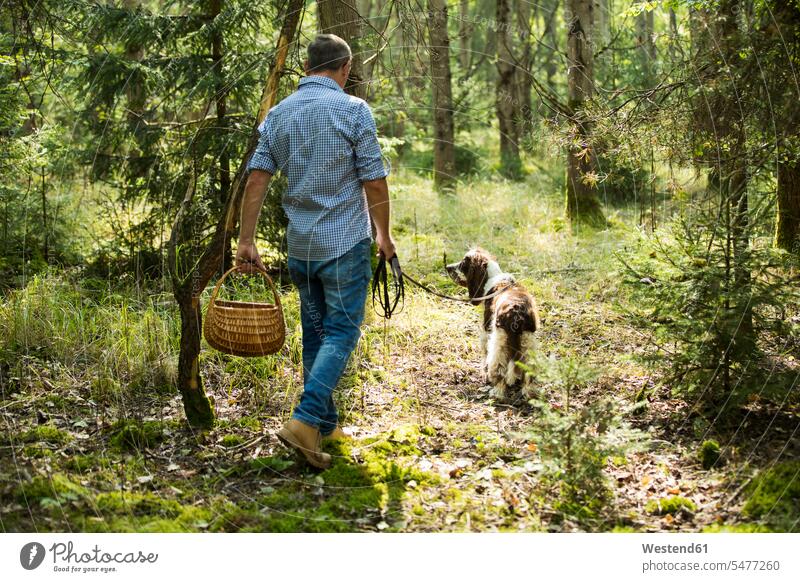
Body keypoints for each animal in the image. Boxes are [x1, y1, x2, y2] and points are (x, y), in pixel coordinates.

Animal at [446, 246, 540, 402]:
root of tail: (517, 313)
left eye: (463, 264)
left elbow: (484, 354)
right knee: (528, 372)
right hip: (528, 342)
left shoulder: (485, 330)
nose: (447, 267)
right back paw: (529, 394)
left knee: (499, 370)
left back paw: (497, 392)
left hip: (498, 342)